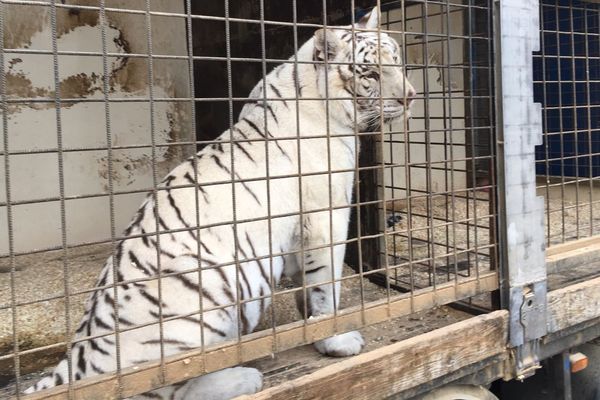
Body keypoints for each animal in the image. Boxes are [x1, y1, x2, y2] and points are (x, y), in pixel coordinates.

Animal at [25, 9, 414, 400]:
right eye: (370, 73)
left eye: (397, 61)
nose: (411, 96)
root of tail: (75, 364)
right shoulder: (324, 217)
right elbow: (325, 284)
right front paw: (335, 339)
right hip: (206, 279)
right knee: (171, 385)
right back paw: (245, 378)